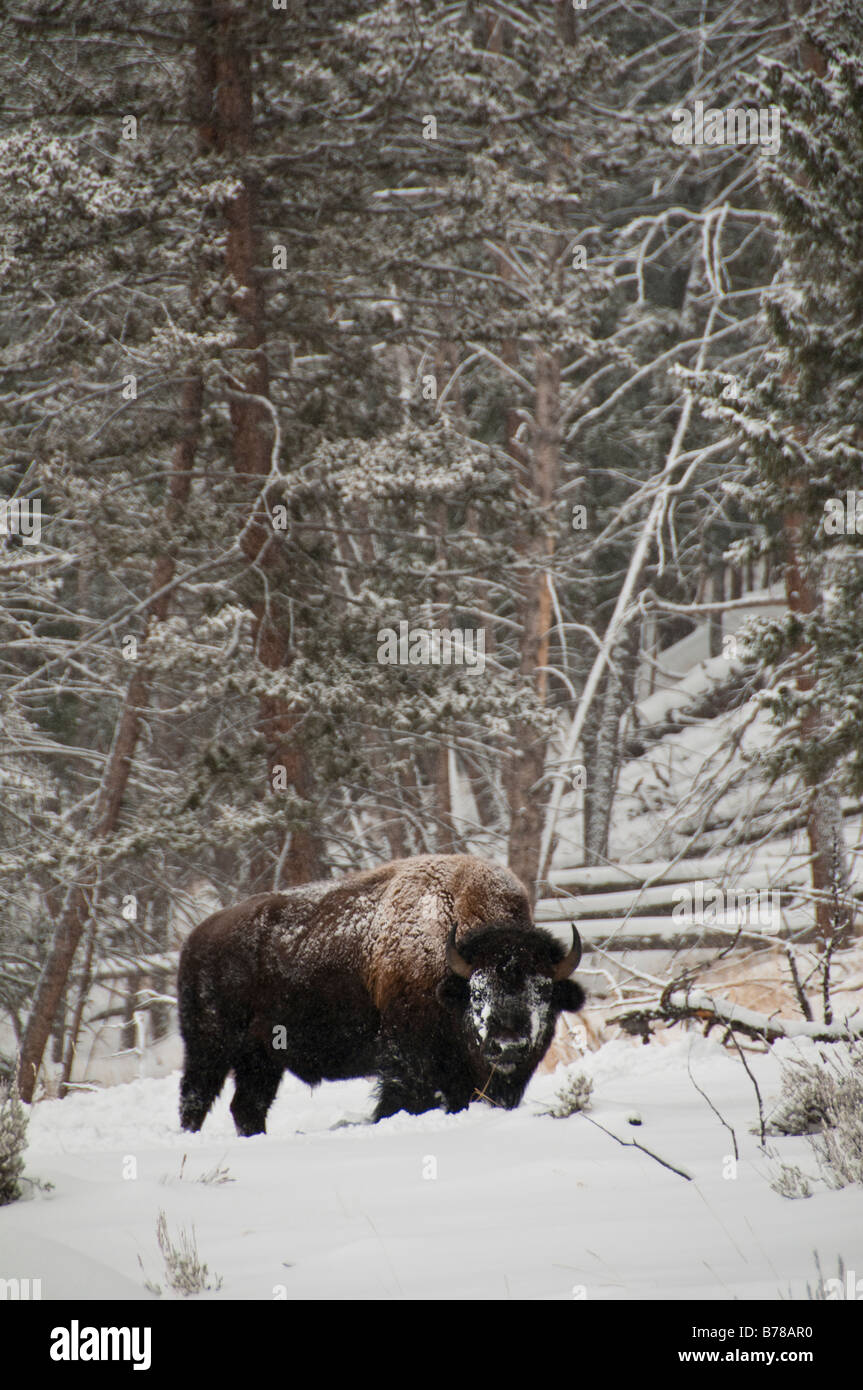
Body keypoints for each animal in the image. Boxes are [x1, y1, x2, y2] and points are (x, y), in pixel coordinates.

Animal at [179, 850, 586, 1134]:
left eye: (543, 990)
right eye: (476, 992)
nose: (508, 1044)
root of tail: (196, 938)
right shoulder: (410, 1063)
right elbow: (400, 1099)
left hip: (261, 1059)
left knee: (246, 1106)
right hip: (210, 1048)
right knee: (195, 1099)